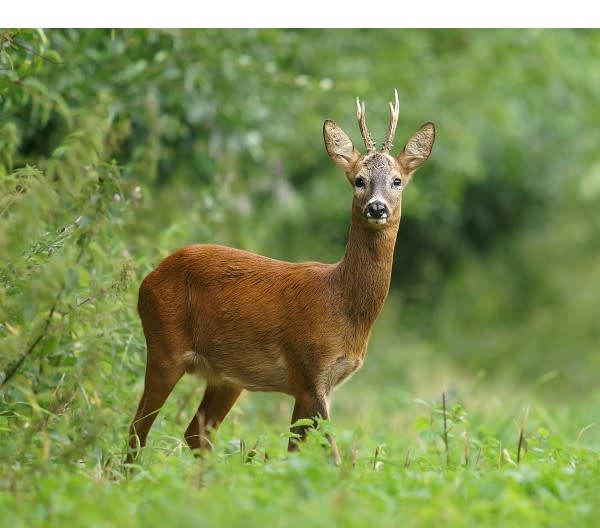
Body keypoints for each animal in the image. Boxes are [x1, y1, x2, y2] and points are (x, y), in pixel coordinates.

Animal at [126, 92, 436, 466]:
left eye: (397, 180)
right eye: (359, 180)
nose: (377, 208)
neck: (342, 303)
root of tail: (149, 277)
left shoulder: (317, 384)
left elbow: (297, 451)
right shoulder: (308, 370)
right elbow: (330, 453)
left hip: (226, 377)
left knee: (194, 433)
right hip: (163, 346)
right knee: (137, 429)